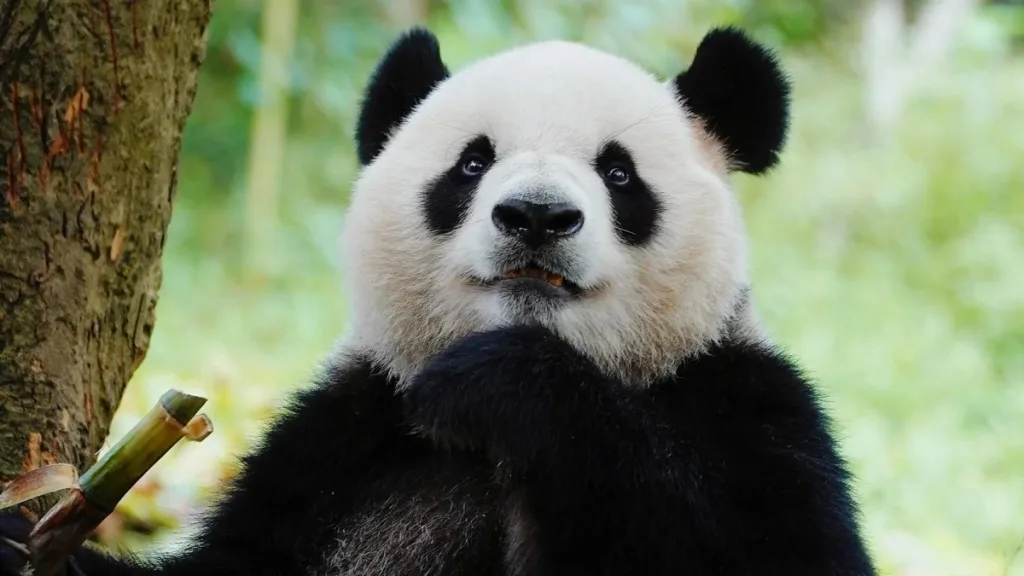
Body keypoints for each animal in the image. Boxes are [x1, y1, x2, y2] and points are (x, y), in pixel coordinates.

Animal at [0, 26, 876, 576]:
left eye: (620, 173)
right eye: (472, 163)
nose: (535, 217)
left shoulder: (744, 397)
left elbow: (781, 548)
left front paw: (509, 383)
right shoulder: (344, 437)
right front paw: (31, 541)